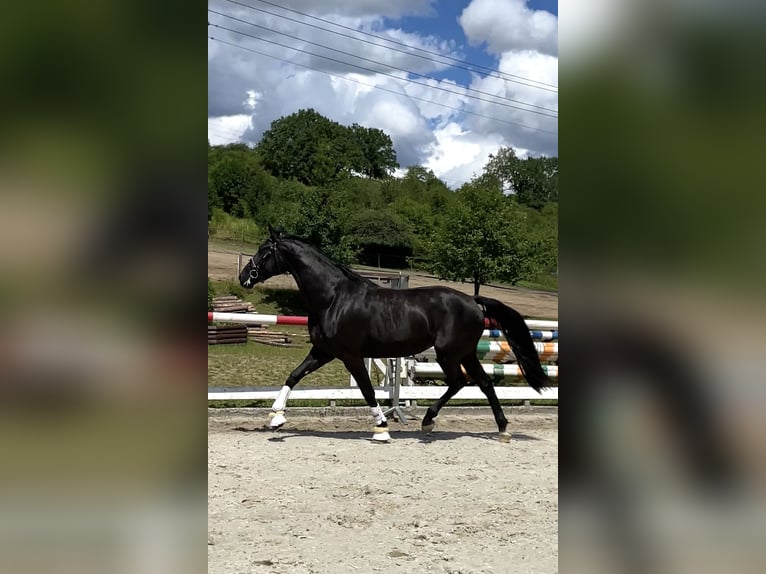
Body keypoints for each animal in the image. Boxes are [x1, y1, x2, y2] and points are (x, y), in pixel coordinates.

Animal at [237, 227, 548, 444]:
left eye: (264, 251)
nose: (244, 277)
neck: (333, 298)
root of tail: (473, 301)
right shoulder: (323, 351)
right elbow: (294, 375)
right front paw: (276, 417)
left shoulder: (350, 355)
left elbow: (367, 390)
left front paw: (382, 429)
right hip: (466, 353)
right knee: (483, 383)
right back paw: (502, 429)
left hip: (449, 354)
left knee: (460, 382)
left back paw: (429, 421)